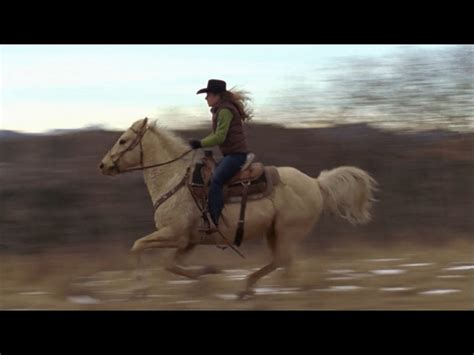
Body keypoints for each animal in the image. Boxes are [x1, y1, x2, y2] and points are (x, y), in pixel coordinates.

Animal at [98, 117, 380, 298]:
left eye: (123, 140)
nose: (103, 165)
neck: (174, 180)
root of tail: (315, 182)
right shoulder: (187, 241)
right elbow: (170, 265)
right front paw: (207, 272)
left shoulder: (173, 234)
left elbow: (138, 246)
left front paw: (139, 289)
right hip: (273, 233)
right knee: (278, 261)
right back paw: (247, 287)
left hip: (287, 232)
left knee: (283, 261)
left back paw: (258, 288)